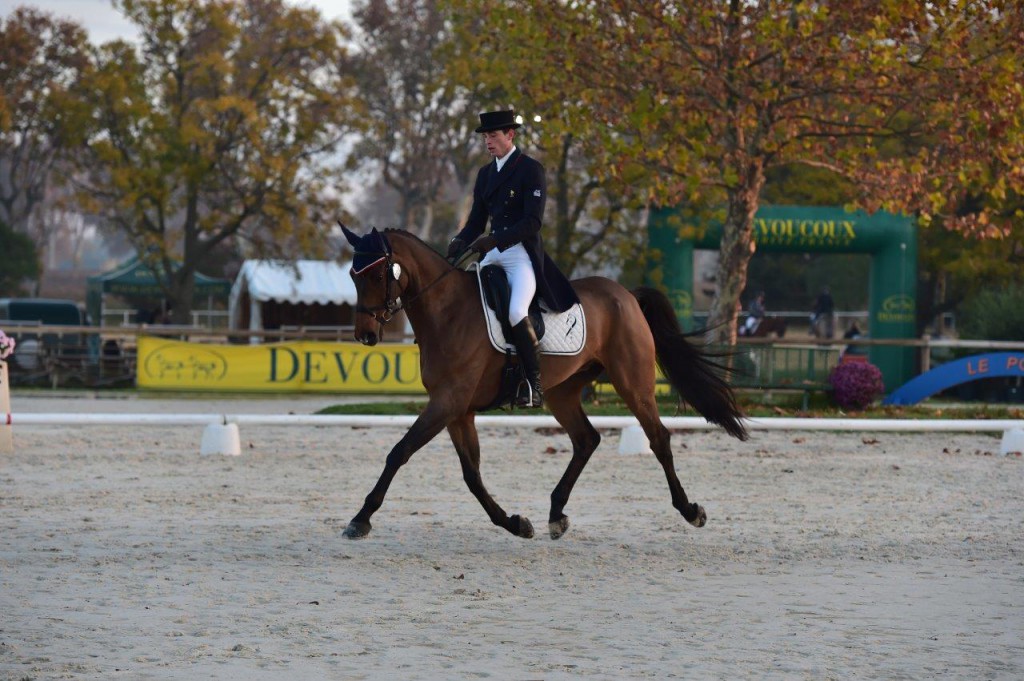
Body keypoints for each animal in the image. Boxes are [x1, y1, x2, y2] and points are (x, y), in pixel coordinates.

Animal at [339, 225, 749, 540]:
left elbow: (400, 452)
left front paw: (360, 519)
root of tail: (627, 295)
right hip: (562, 391)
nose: (365, 335)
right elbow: (471, 474)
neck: (447, 310)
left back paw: (690, 510)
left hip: (632, 381)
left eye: (378, 275)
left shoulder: (448, 403)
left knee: (658, 438)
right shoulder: (457, 410)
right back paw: (556, 514)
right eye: (352, 276)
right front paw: (515, 523)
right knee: (586, 439)